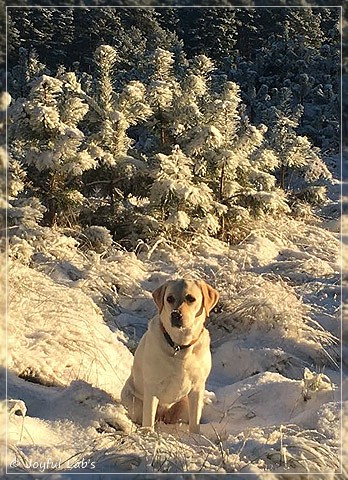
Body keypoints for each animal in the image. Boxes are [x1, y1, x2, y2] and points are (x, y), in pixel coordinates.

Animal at [119, 278, 218, 436]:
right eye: (169, 298)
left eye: (191, 298)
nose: (175, 314)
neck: (179, 345)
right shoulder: (152, 386)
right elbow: (148, 417)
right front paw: (148, 434)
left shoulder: (197, 387)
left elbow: (195, 421)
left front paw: (195, 437)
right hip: (133, 402)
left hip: (184, 405)